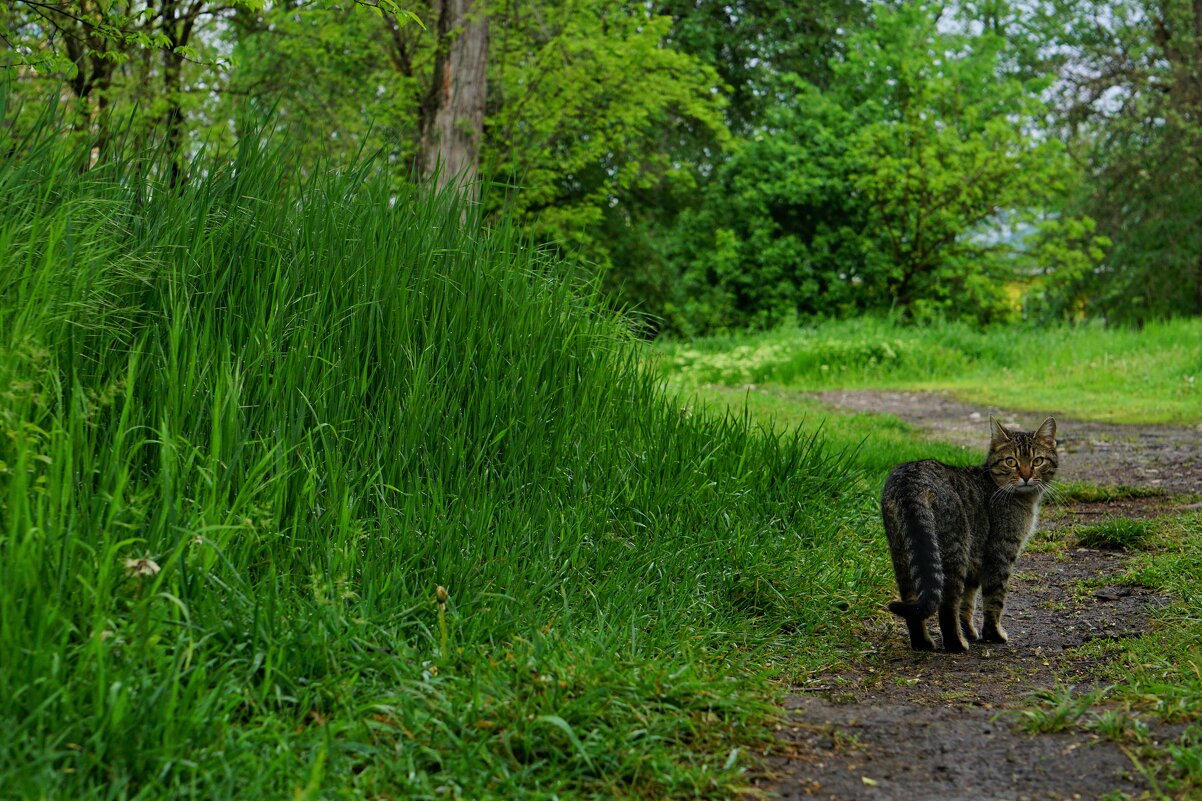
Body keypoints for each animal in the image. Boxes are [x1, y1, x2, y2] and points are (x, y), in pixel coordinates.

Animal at [879, 413, 1057, 654]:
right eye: (1011, 461)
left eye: (1037, 461)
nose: (1026, 476)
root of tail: (912, 479)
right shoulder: (1000, 553)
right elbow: (994, 599)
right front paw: (993, 634)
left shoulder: (976, 561)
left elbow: (968, 602)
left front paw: (970, 631)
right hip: (955, 551)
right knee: (946, 605)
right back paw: (956, 643)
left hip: (903, 553)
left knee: (912, 603)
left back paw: (922, 643)